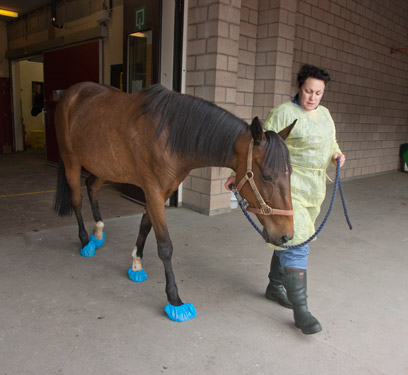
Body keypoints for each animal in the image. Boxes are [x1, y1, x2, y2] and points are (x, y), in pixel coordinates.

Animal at [54, 83, 294, 324]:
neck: (167, 135)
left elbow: (144, 227)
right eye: (266, 176)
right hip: (71, 161)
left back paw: (98, 233)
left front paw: (136, 264)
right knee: (77, 200)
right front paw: (175, 300)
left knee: (92, 187)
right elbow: (165, 246)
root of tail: (71, 93)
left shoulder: (160, 193)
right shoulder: (153, 192)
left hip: (102, 165)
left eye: (290, 173)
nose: (286, 236)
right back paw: (86, 241)